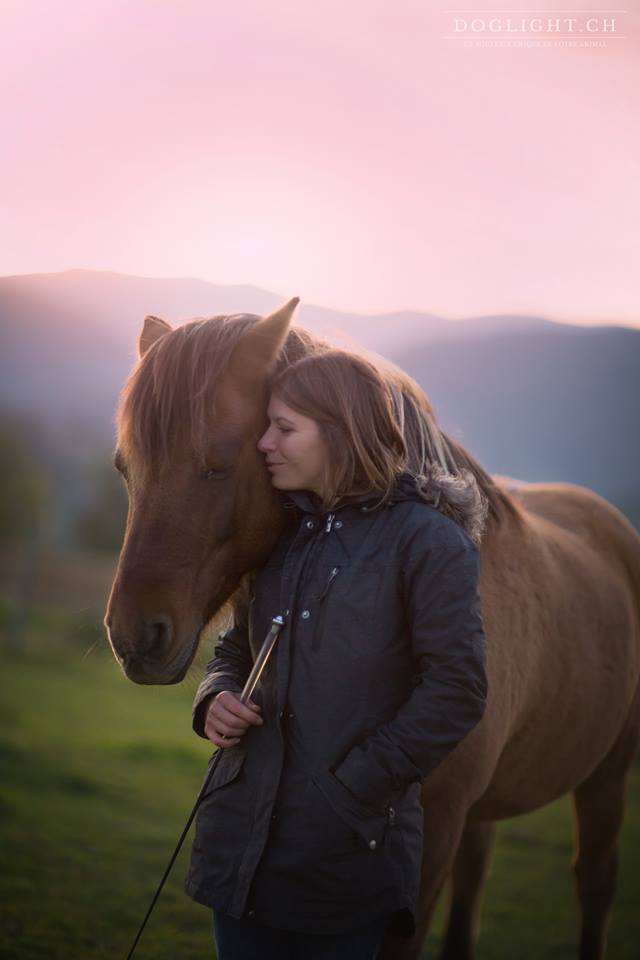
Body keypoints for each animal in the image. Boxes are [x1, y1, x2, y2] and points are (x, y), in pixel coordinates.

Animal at [105, 300, 640, 960]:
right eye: (125, 469)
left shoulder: (430, 842)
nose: (134, 636)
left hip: (608, 772)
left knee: (594, 881)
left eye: (216, 465)